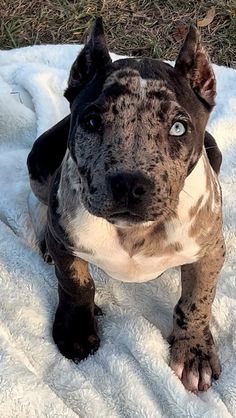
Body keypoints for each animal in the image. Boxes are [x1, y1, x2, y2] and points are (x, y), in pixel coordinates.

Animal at [27, 18, 225, 392]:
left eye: (179, 128)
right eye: (92, 122)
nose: (130, 185)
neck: (134, 232)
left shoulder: (210, 251)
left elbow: (198, 299)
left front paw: (193, 351)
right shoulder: (68, 243)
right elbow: (75, 283)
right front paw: (77, 330)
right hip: (40, 156)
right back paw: (45, 239)